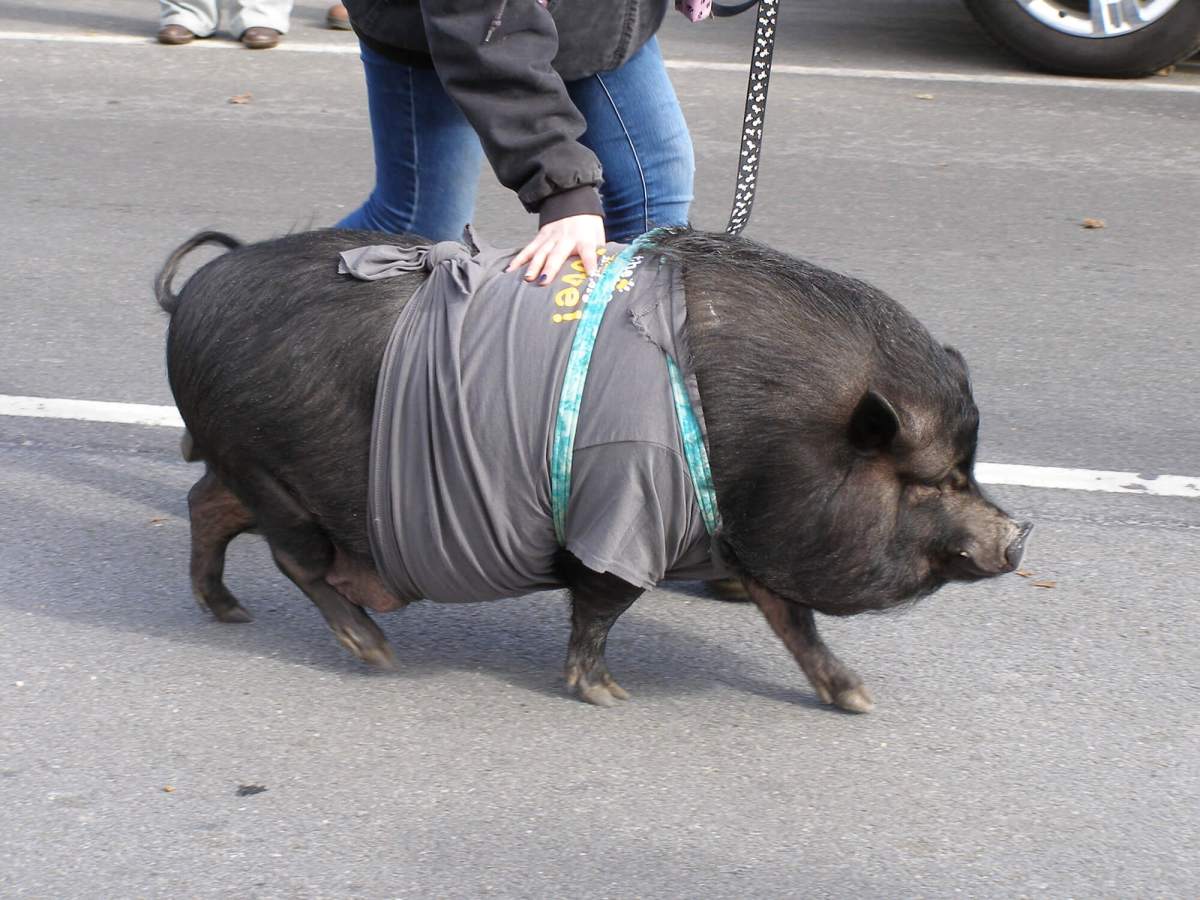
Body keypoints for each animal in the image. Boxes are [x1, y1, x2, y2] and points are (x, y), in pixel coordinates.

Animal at [154, 229, 1027, 715]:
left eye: (968, 468)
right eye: (932, 479)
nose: (1019, 535)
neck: (775, 437)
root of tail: (190, 297)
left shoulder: (755, 538)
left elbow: (794, 623)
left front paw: (857, 700)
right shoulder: (624, 513)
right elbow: (601, 607)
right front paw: (609, 695)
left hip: (250, 469)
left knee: (206, 506)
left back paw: (227, 612)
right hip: (278, 477)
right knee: (293, 558)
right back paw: (375, 651)